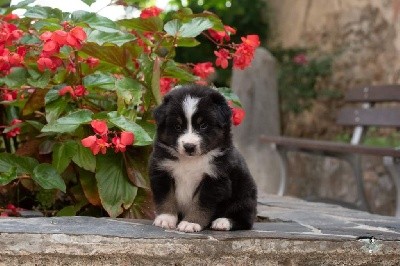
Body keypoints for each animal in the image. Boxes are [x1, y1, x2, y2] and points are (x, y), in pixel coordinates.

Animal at [149, 84, 256, 232]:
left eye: (203, 125)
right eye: (177, 126)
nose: (189, 146)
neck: (190, 161)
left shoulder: (215, 179)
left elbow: (201, 204)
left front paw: (190, 223)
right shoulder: (162, 171)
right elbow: (166, 197)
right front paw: (166, 218)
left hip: (244, 194)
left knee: (245, 218)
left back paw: (222, 222)